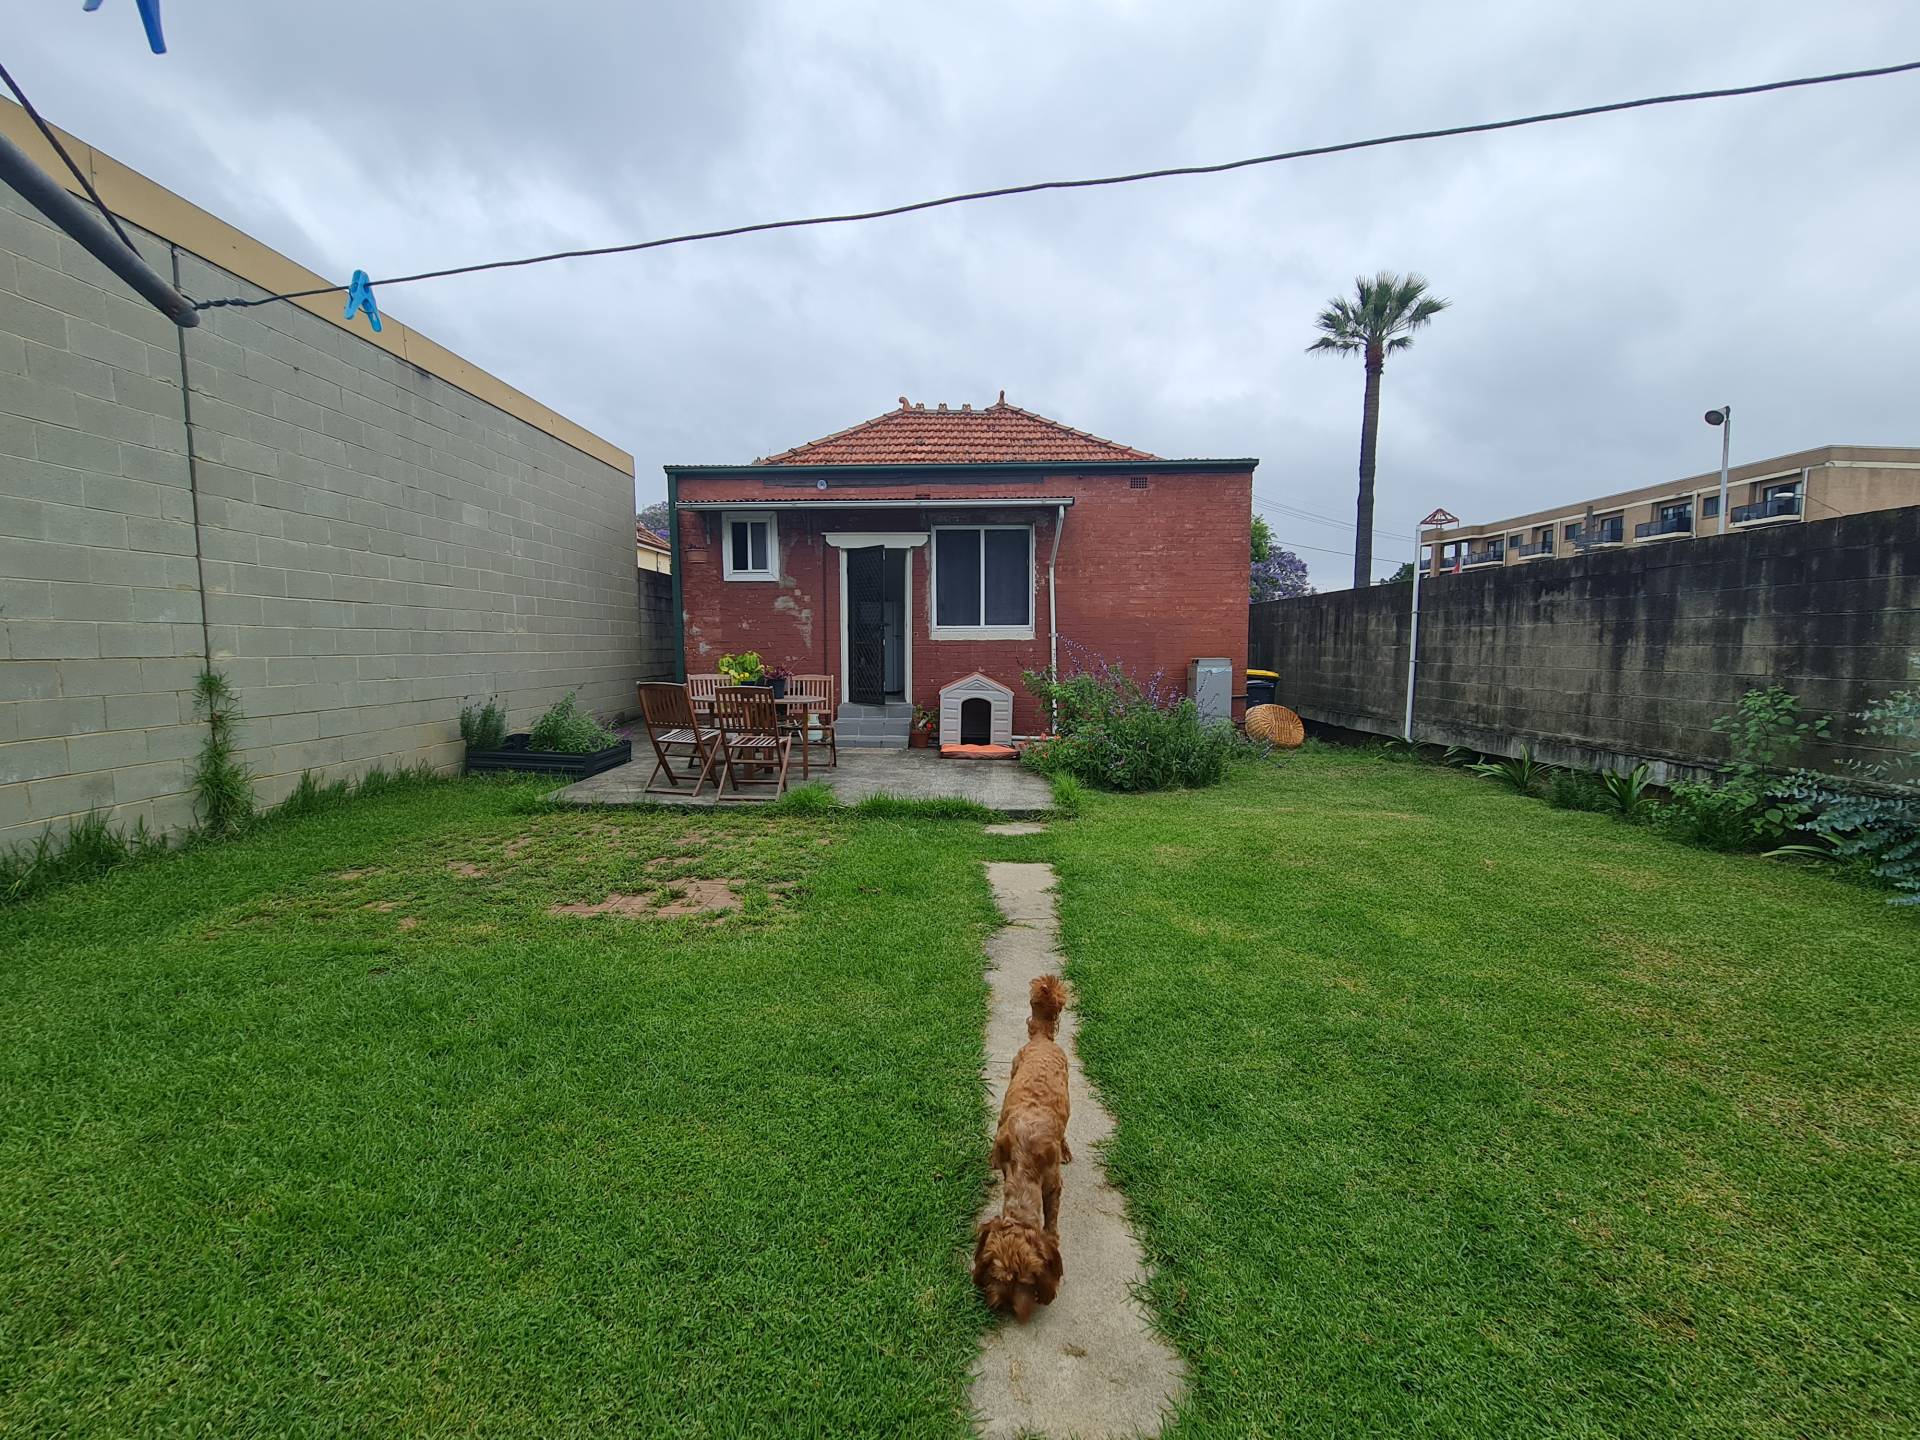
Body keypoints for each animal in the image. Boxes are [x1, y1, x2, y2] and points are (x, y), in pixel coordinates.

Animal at [973, 974, 1072, 1322]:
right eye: (998, 1276)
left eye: (1028, 1282)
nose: (1007, 1308)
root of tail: (1042, 1040)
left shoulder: (1053, 1185)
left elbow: (1052, 1219)